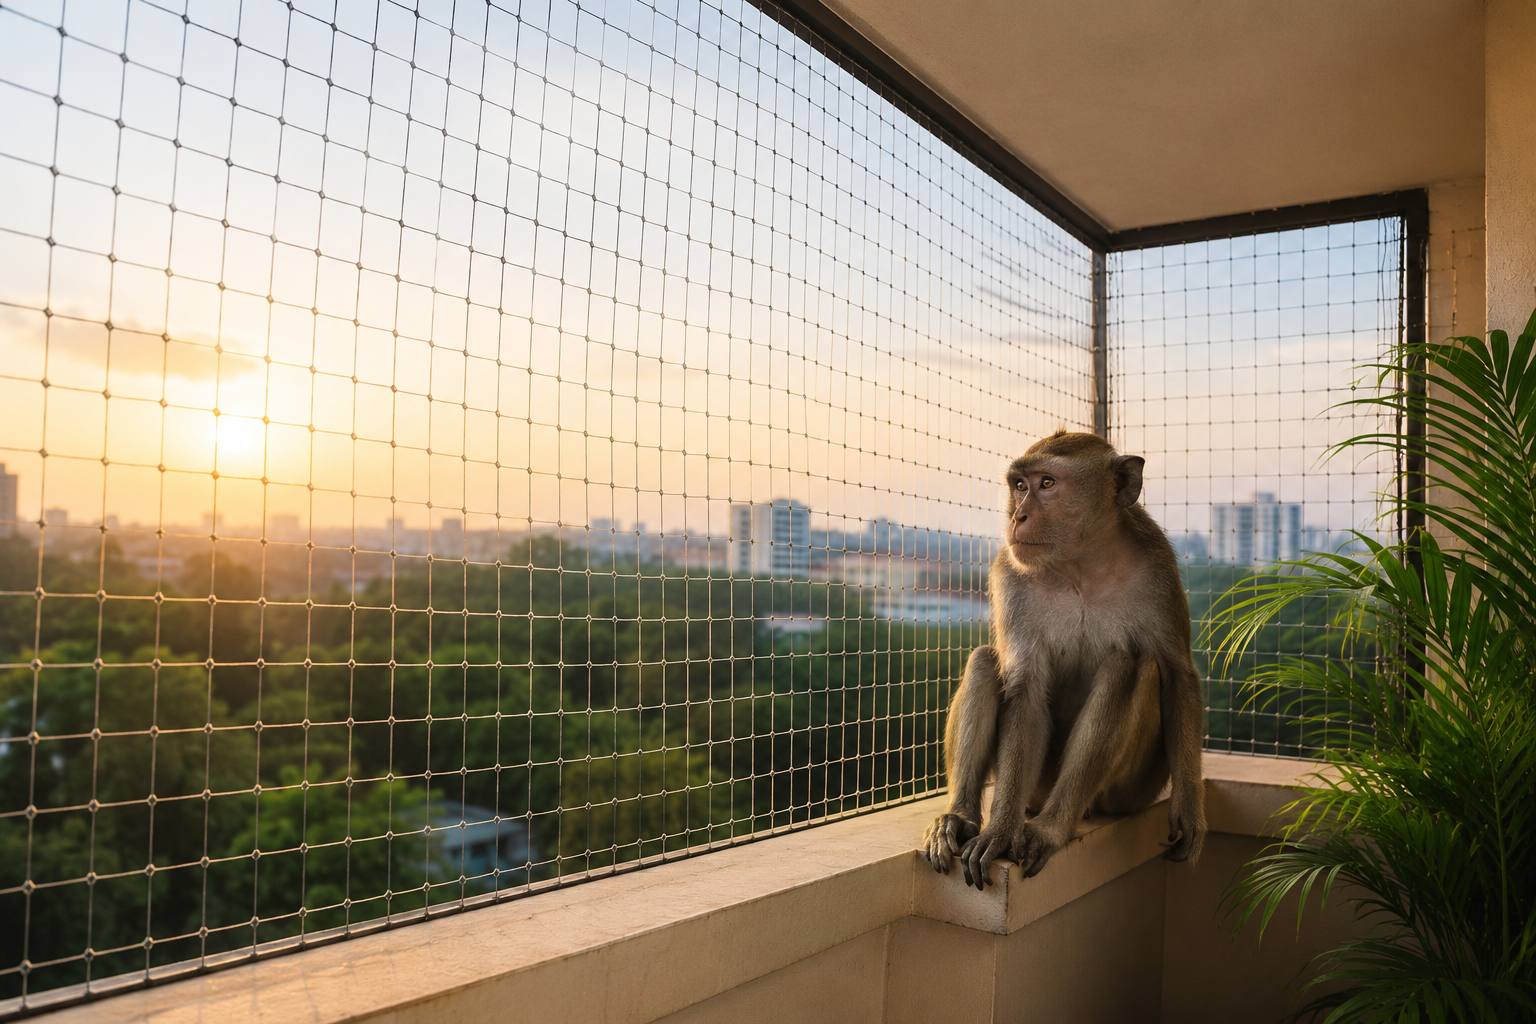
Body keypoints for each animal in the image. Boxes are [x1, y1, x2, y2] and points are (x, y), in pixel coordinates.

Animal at [922, 431, 1206, 890]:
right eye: (1020, 485)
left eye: (1048, 484)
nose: (1017, 517)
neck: (1082, 565)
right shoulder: (1010, 574)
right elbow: (1025, 688)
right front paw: (999, 832)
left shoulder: (1159, 567)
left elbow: (1179, 674)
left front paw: (1190, 811)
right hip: (1036, 785)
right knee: (985, 660)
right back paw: (960, 818)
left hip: (1130, 791)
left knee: (1131, 665)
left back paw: (1054, 825)